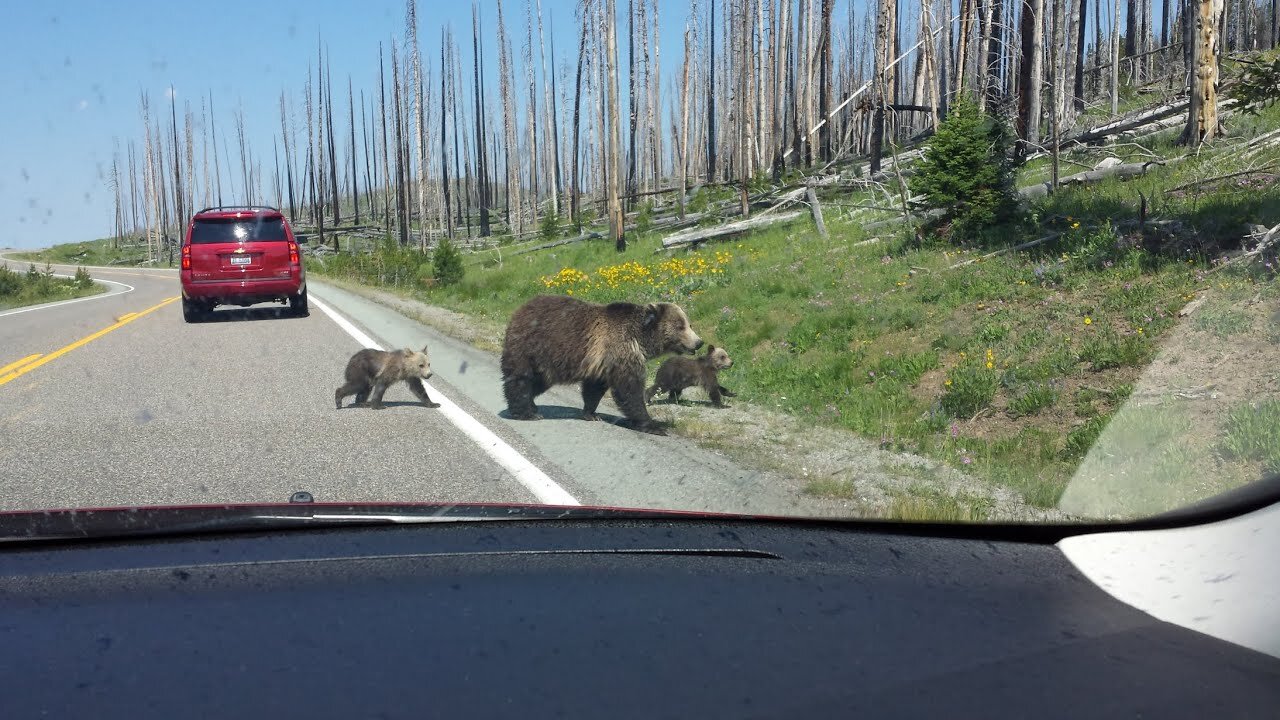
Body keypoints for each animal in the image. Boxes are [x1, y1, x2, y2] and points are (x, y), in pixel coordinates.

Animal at [499, 292, 706, 430]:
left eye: (689, 324)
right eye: (680, 326)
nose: (699, 342)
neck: (640, 339)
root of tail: (520, 310)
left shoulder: (602, 363)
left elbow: (594, 389)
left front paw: (591, 414)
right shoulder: (621, 350)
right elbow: (629, 390)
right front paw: (652, 424)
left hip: (546, 362)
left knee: (539, 382)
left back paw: (532, 406)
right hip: (533, 347)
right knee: (521, 379)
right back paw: (526, 412)